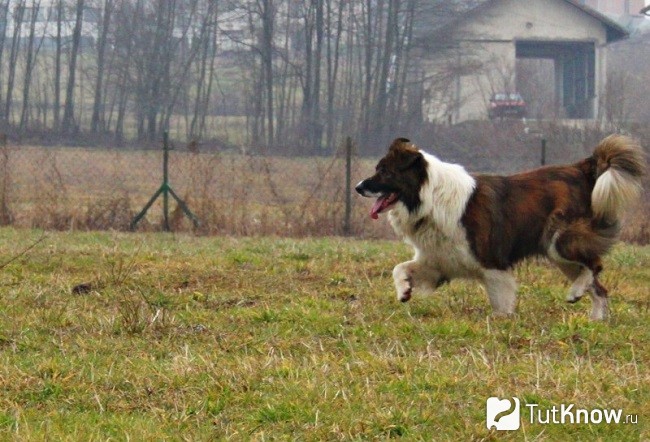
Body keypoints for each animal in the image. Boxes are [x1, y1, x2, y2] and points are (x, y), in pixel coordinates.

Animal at [354, 136, 644, 320]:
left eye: (385, 172)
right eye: (378, 169)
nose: (358, 187)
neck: (430, 200)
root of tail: (582, 169)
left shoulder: (492, 264)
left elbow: (500, 300)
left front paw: (501, 322)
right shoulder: (439, 261)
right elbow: (399, 268)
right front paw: (403, 290)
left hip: (561, 241)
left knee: (594, 266)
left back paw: (576, 293)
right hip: (562, 255)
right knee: (598, 285)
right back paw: (596, 318)